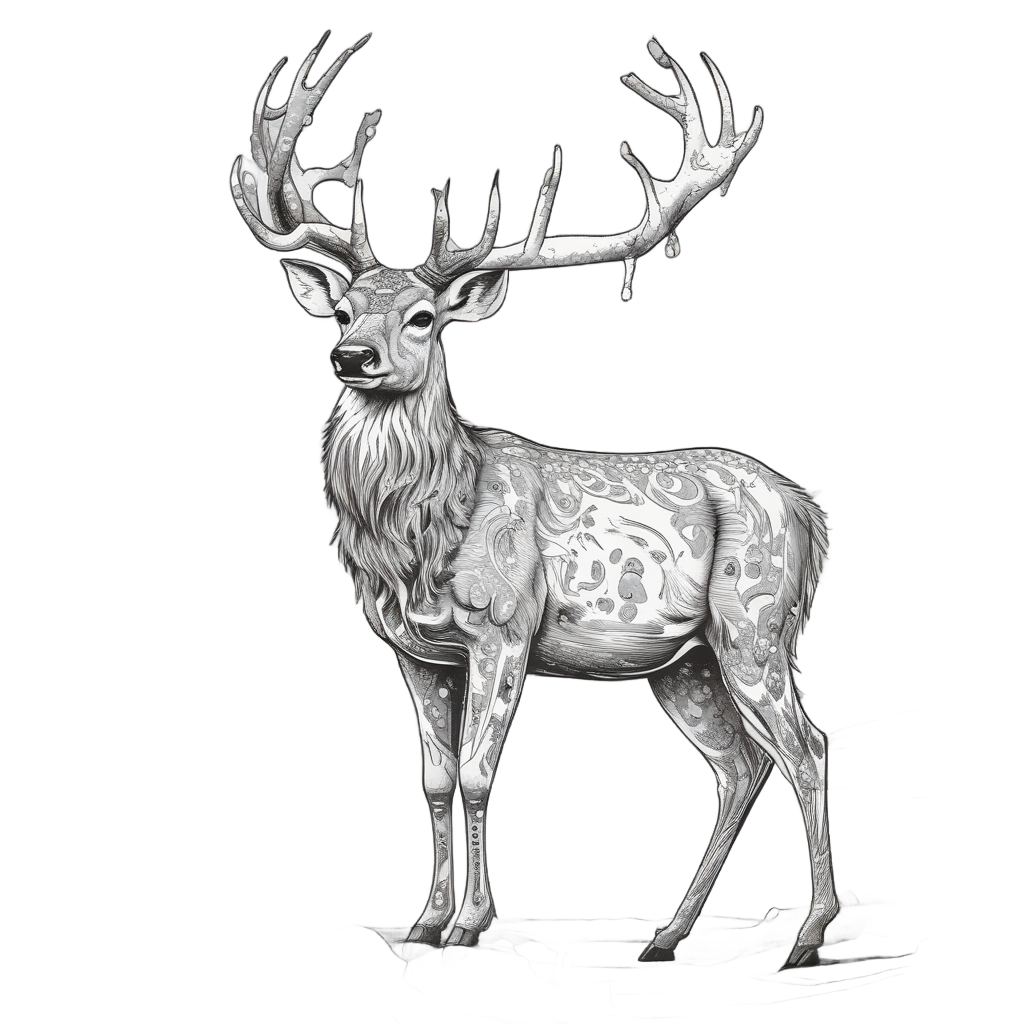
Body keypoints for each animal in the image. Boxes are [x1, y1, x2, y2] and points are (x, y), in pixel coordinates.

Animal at [229, 30, 839, 967]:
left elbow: (481, 775)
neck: (424, 540)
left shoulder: (504, 625)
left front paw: (470, 923)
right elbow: (434, 779)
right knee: (740, 764)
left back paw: (808, 933)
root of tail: (800, 504)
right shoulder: (412, 650)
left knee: (807, 748)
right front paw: (422, 918)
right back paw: (671, 930)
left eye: (423, 318)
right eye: (343, 311)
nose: (352, 357)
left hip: (756, 621)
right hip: (683, 661)